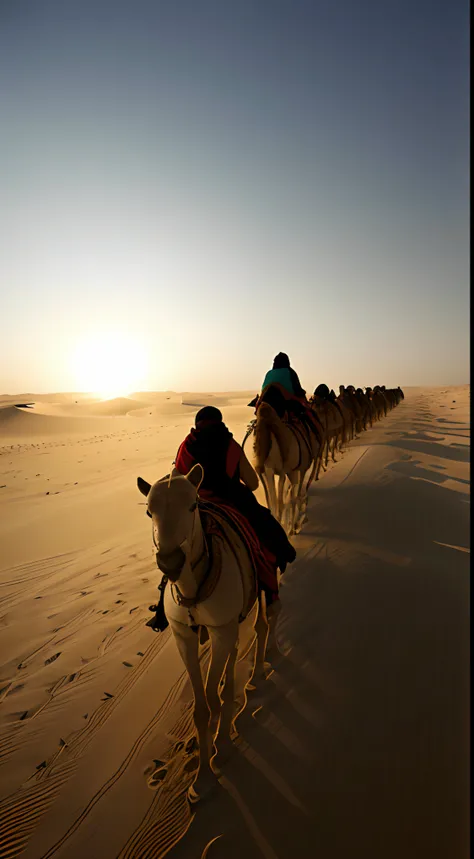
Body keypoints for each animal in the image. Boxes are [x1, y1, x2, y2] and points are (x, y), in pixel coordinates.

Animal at [136, 466, 270, 804]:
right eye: (149, 511)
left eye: (193, 504)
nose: (170, 562)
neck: (192, 590)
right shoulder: (184, 635)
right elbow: (201, 707)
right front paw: (203, 774)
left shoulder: (221, 630)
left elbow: (211, 697)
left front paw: (215, 759)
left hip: (263, 583)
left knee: (264, 623)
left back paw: (258, 677)